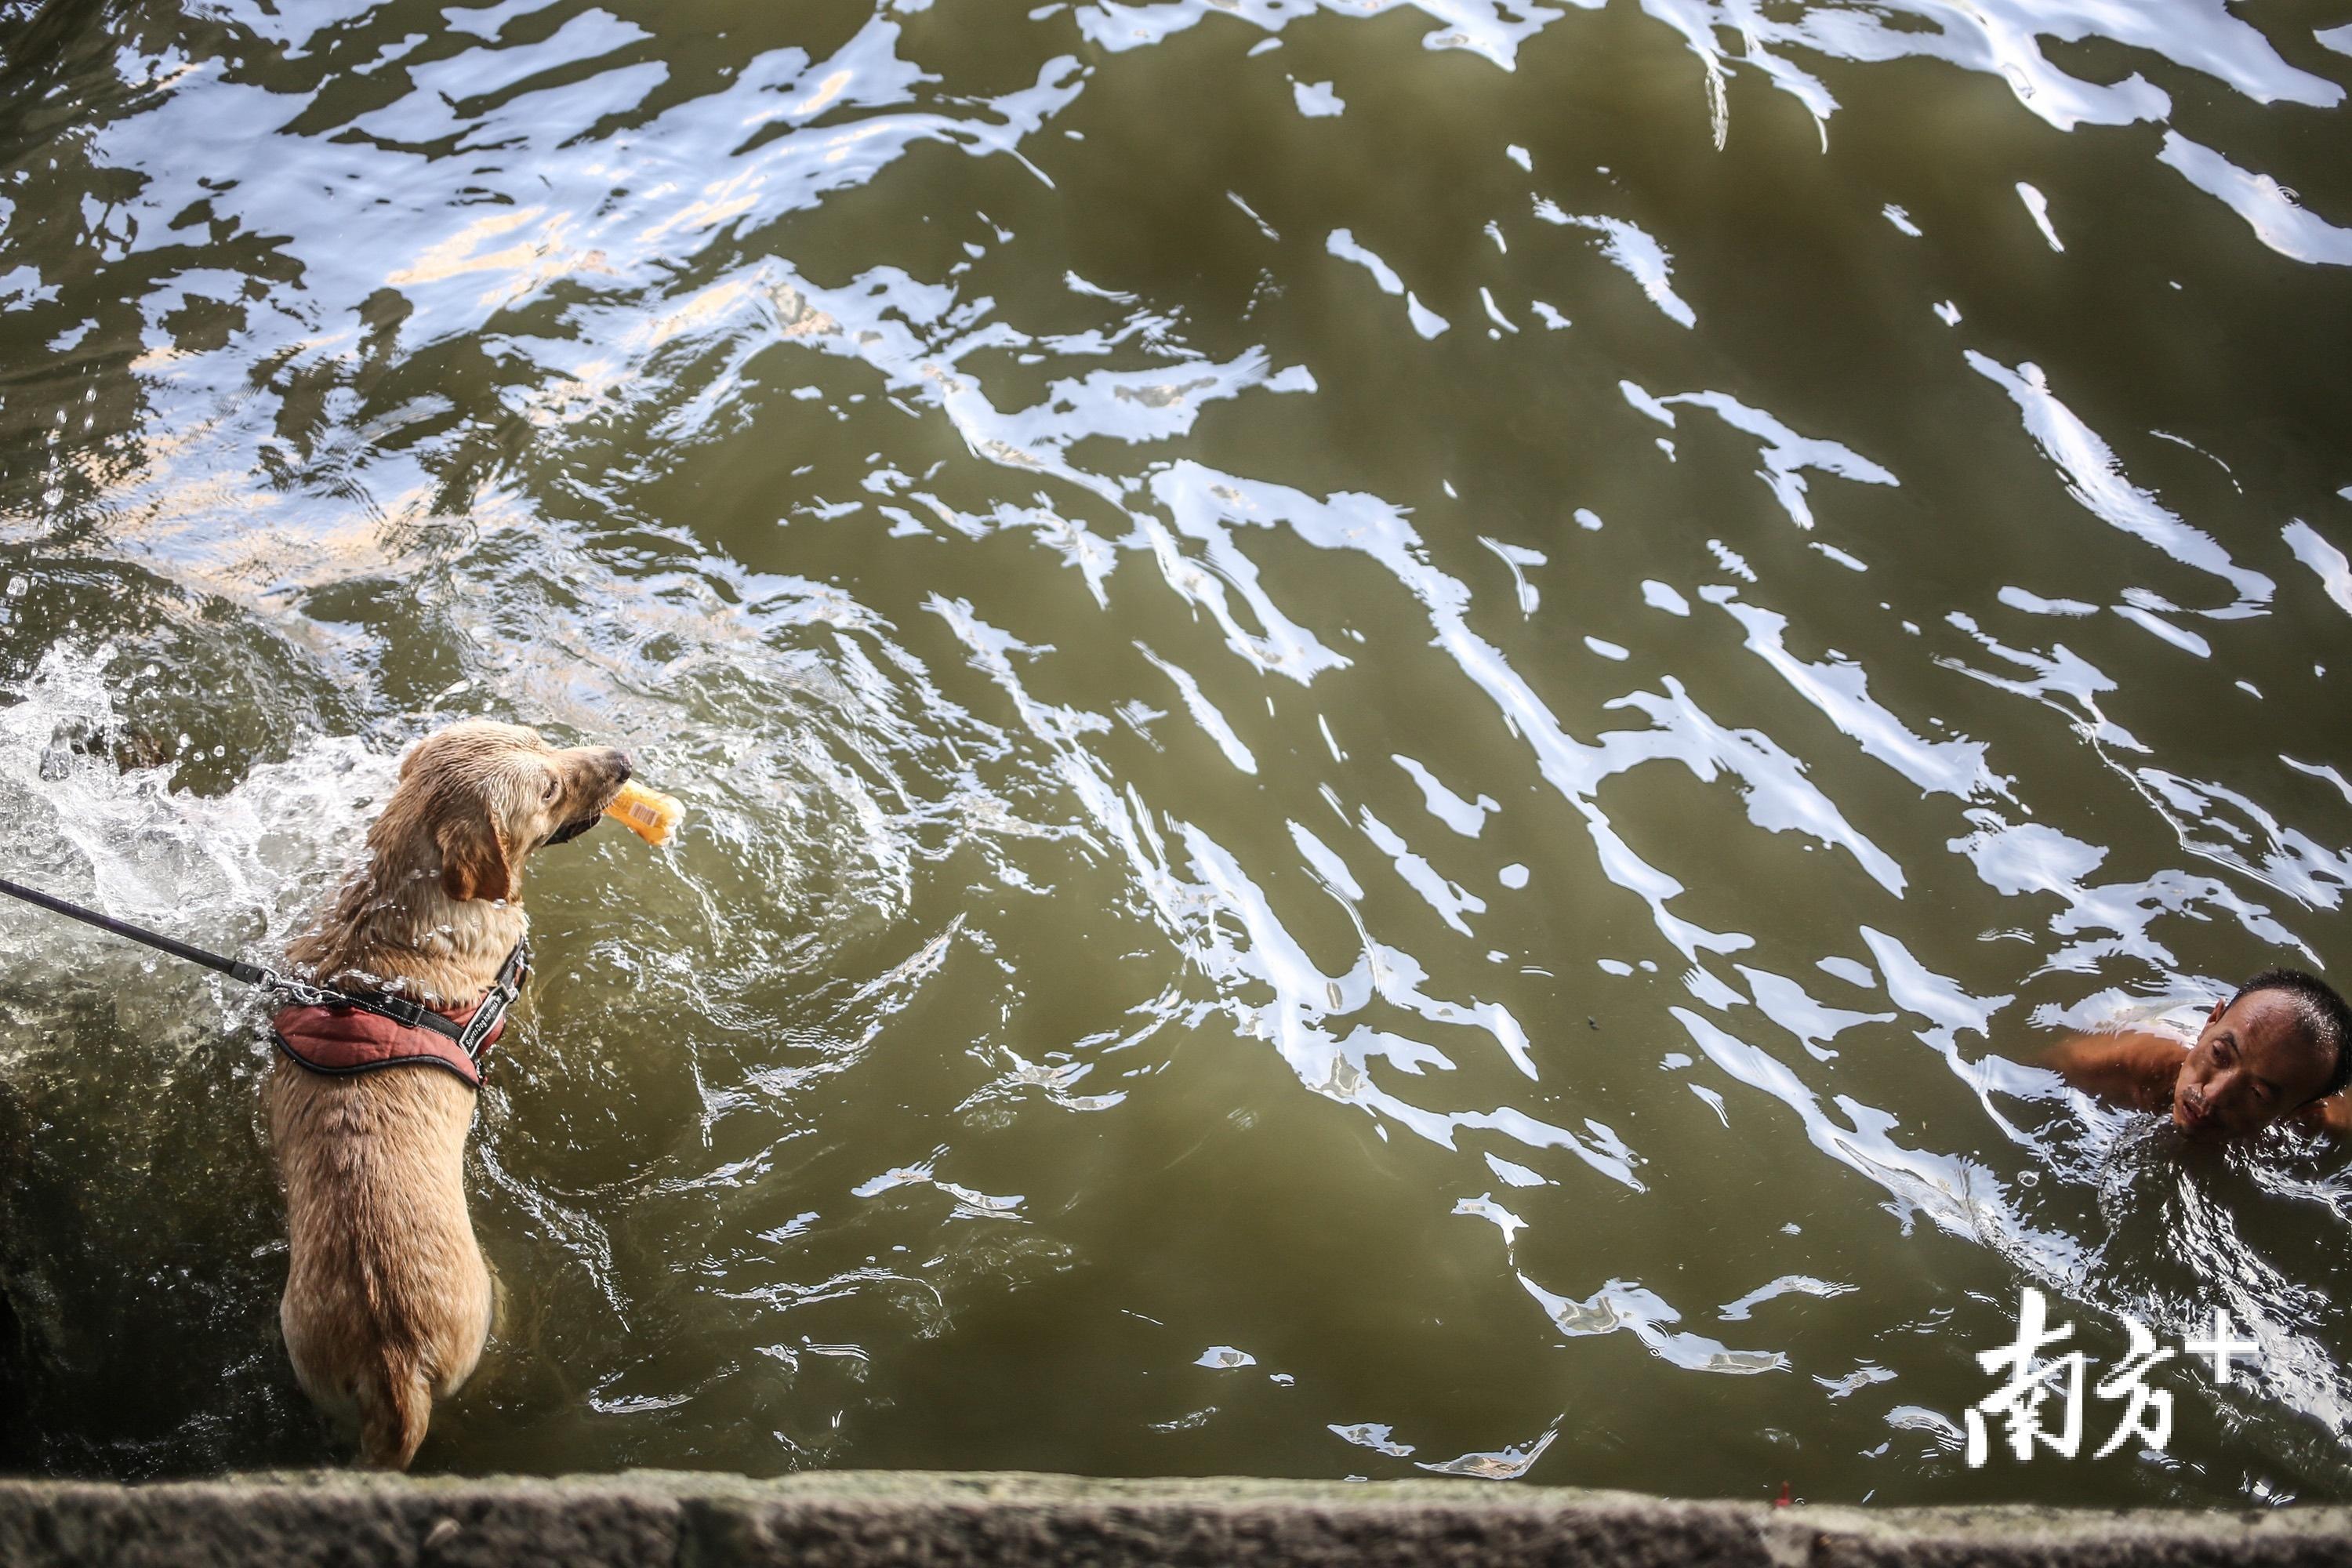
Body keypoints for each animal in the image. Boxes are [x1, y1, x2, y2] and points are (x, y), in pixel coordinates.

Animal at [268, 724, 630, 1476]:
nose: (625, 762)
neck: (396, 902)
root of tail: (393, 1362)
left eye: (542, 740)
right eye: (548, 789)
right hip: (494, 1308)